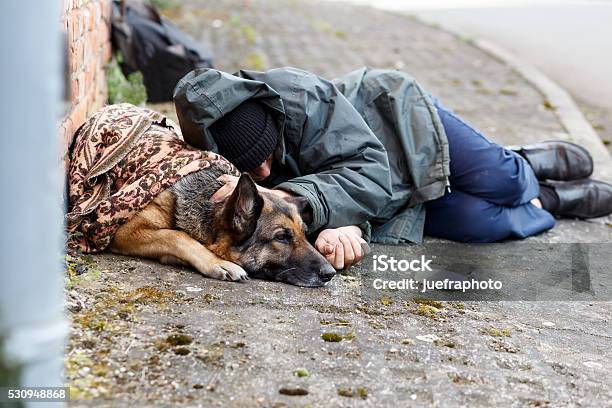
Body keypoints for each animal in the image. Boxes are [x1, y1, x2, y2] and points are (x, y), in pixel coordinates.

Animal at [111, 167, 340, 286]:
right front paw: (218, 263)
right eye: (281, 237)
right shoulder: (124, 231)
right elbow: (176, 236)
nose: (330, 273)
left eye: (305, 234)